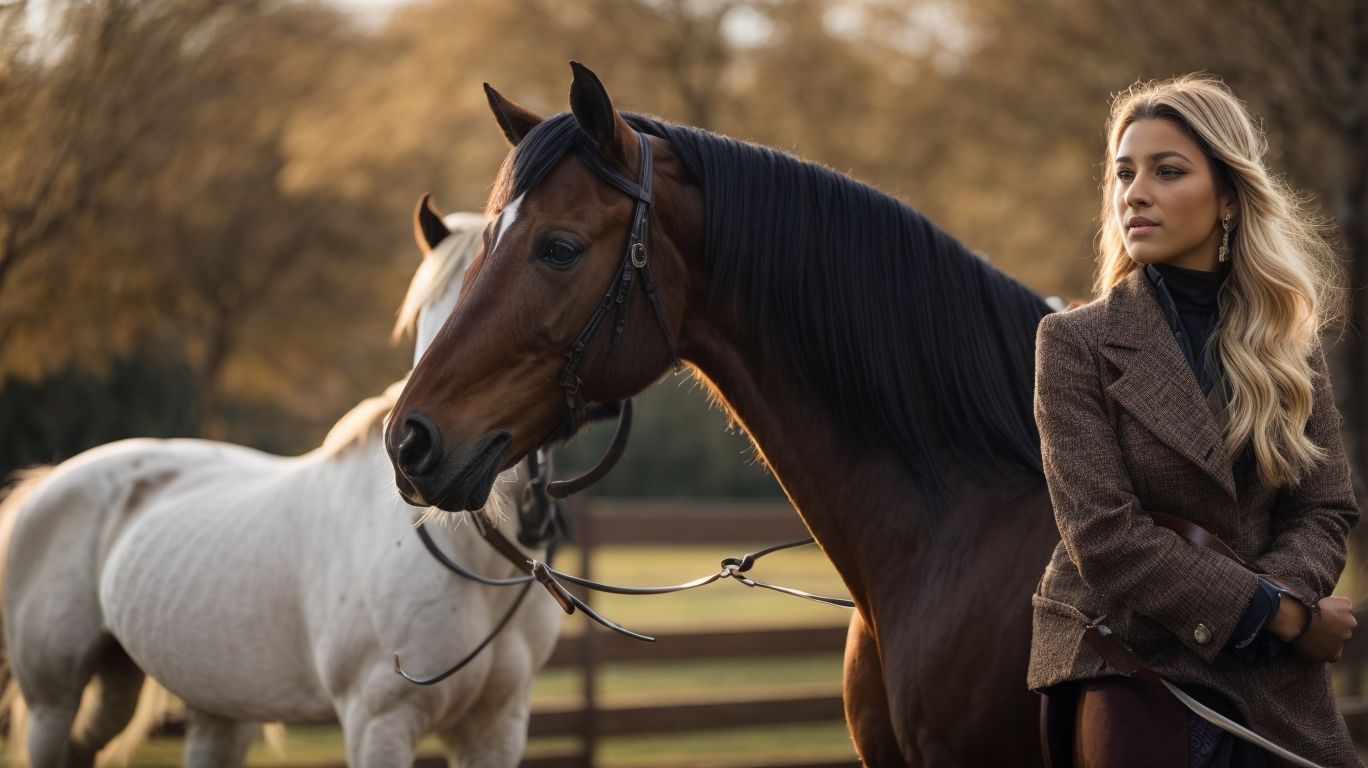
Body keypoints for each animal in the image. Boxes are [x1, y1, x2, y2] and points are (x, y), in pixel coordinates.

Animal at [1, 210, 564, 768]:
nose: (422, 448)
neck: (469, 559)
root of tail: (46, 483)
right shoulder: (379, 722)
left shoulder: (495, 729)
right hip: (52, 701)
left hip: (171, 696)